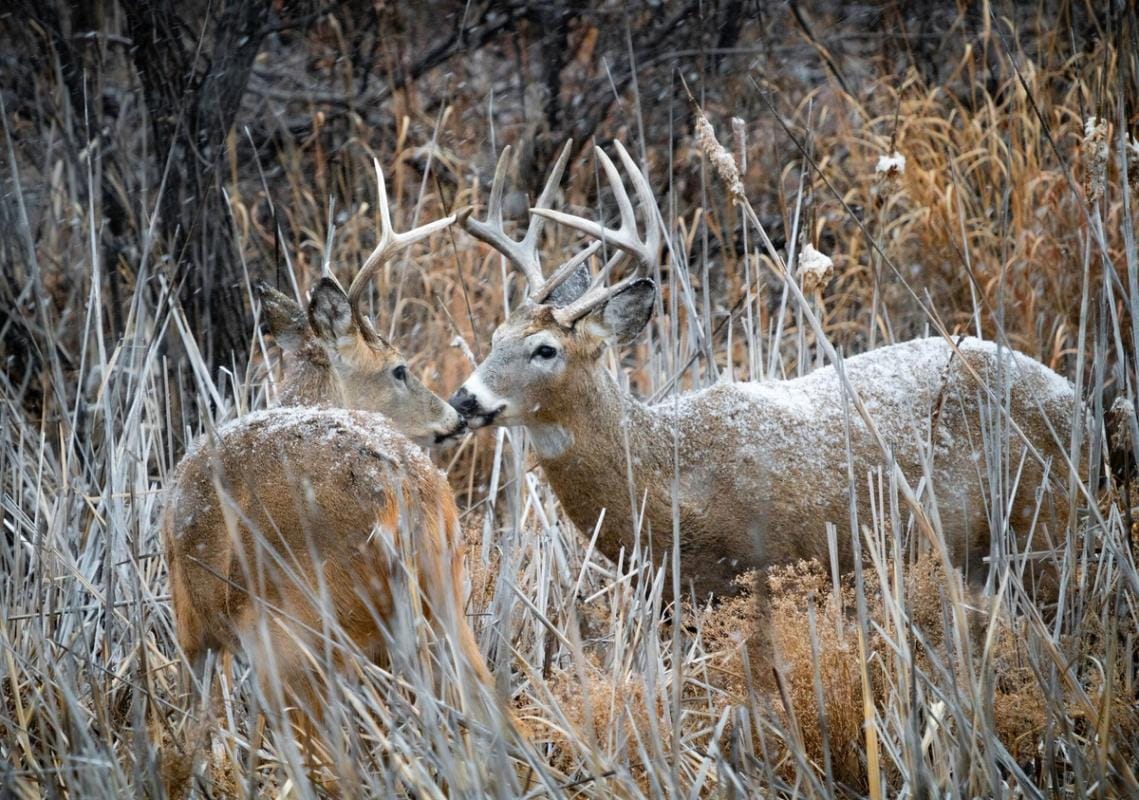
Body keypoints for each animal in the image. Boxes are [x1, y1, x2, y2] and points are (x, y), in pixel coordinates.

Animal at [162, 160, 528, 785]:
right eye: (399, 369)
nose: (455, 414)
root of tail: (403, 489)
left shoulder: (194, 625)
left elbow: (193, 741)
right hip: (444, 590)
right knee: (492, 711)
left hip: (301, 630)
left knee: (329, 761)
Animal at [450, 140, 1080, 603]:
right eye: (494, 337)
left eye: (546, 350)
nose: (463, 400)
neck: (669, 482)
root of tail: (1073, 395)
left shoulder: (782, 568)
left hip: (1041, 525)